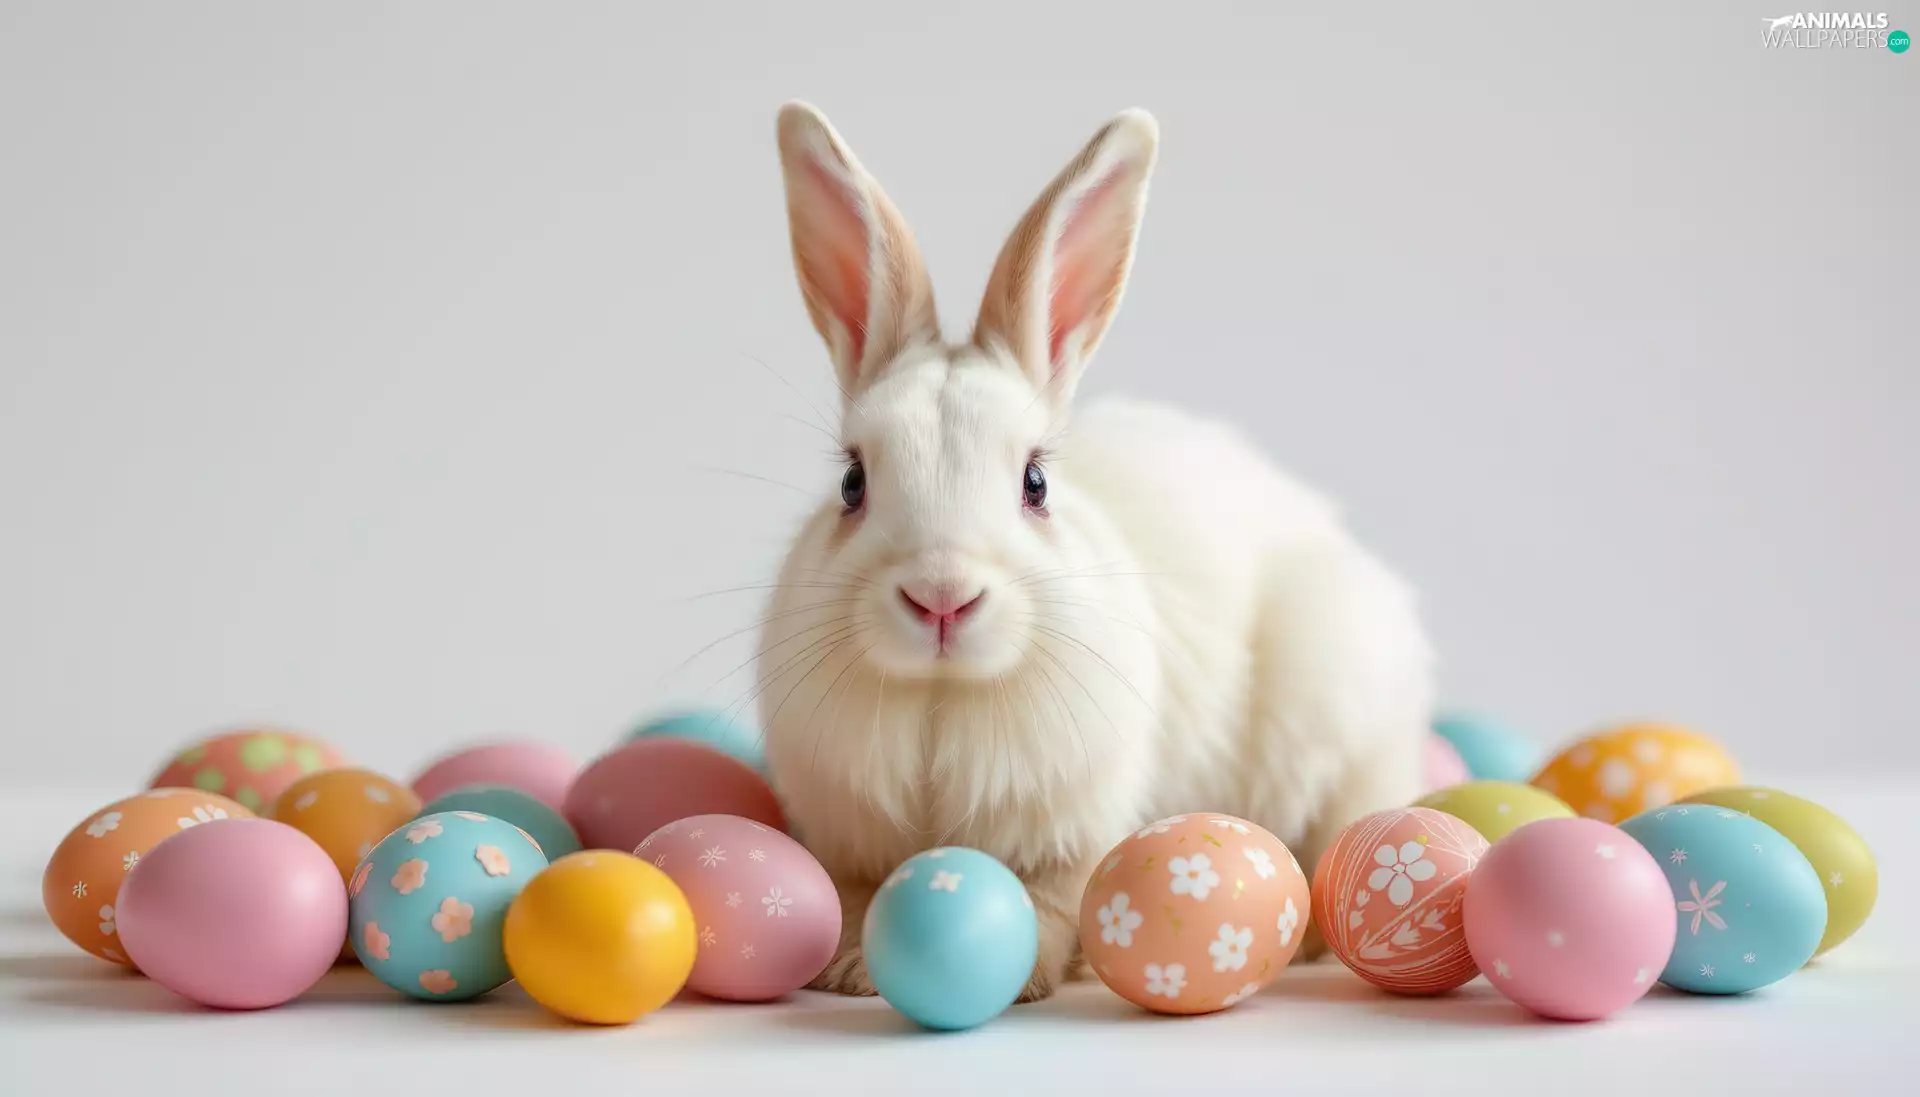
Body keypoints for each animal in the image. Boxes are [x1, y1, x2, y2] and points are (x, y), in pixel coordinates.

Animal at [756, 101, 1435, 1002]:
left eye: (1036, 481)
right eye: (852, 482)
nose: (942, 597)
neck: (943, 698)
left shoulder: (1072, 834)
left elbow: (1051, 899)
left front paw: (1022, 977)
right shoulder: (847, 838)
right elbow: (857, 890)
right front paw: (851, 968)